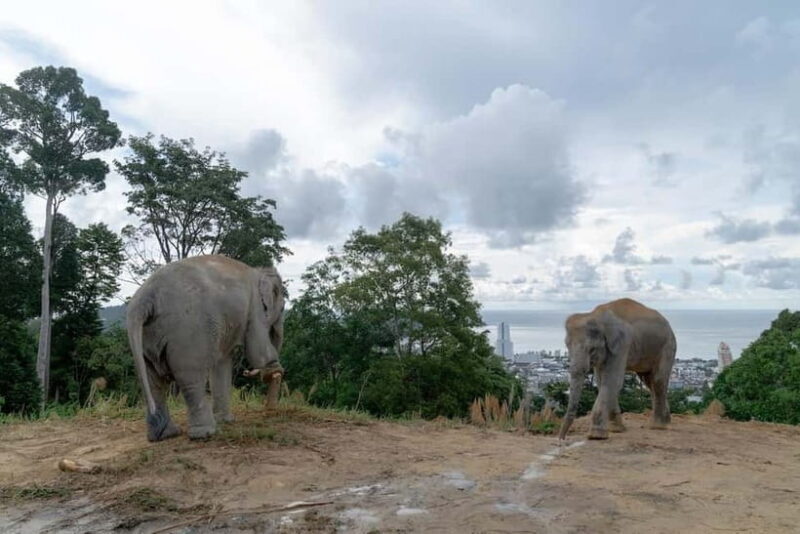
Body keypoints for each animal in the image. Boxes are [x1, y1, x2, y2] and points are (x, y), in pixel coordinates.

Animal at [126, 255, 285, 442]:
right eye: (283, 308)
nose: (270, 409)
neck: (259, 271)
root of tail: (145, 300)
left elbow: (222, 363)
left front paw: (226, 421)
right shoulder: (254, 308)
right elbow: (256, 348)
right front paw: (274, 370)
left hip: (146, 338)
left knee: (153, 382)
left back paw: (165, 435)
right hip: (187, 332)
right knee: (190, 378)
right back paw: (204, 433)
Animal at [558, 298, 676, 440]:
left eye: (592, 349)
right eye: (567, 346)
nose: (561, 438)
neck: (595, 315)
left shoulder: (622, 344)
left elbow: (612, 380)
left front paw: (596, 436)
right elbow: (602, 381)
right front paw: (616, 430)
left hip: (667, 347)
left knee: (658, 381)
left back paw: (658, 426)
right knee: (649, 382)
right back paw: (666, 422)